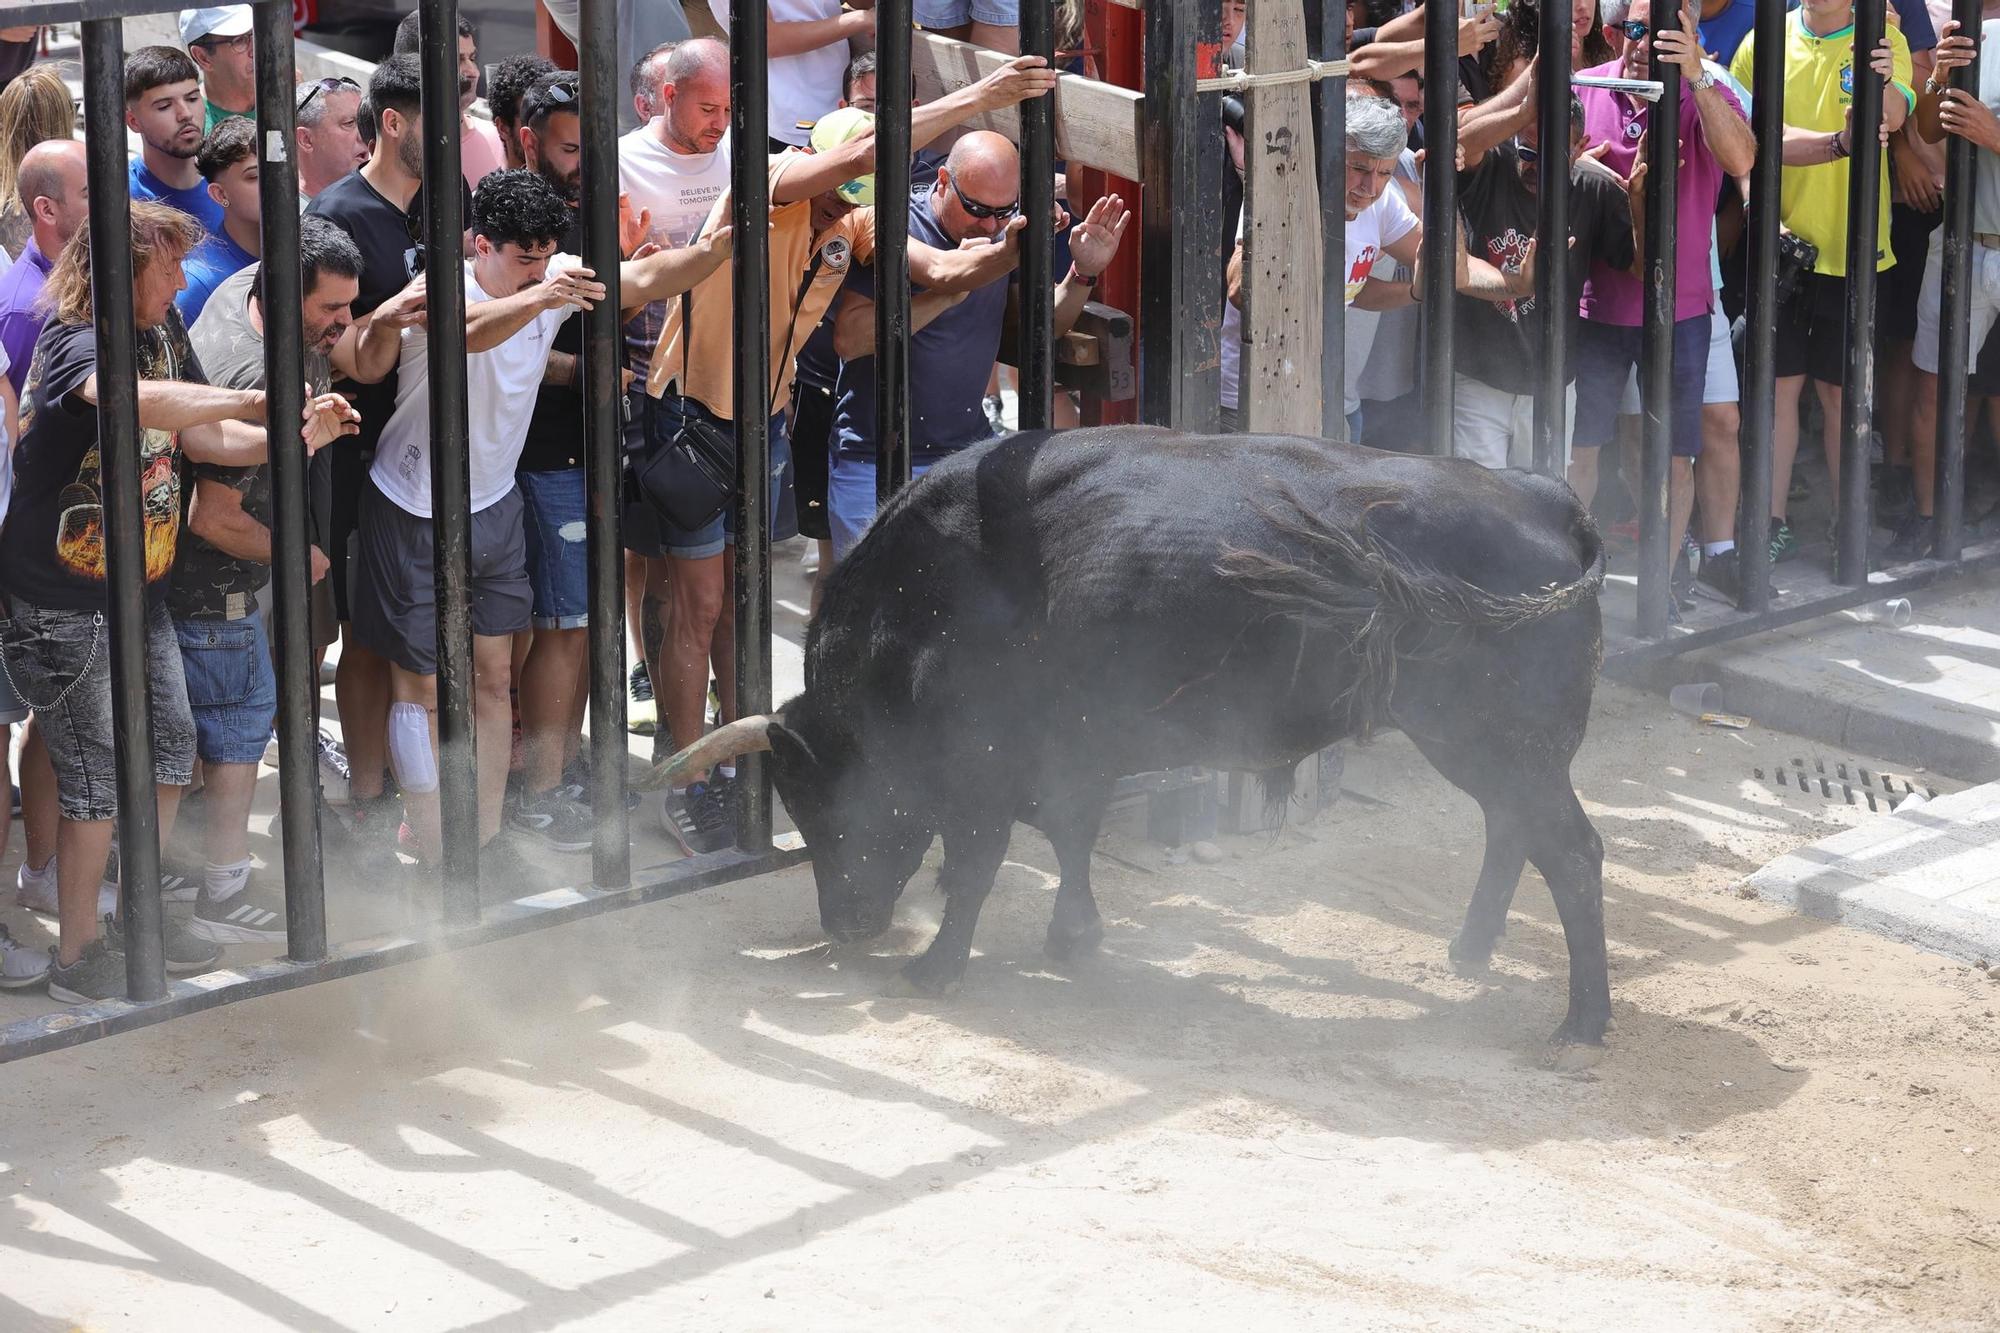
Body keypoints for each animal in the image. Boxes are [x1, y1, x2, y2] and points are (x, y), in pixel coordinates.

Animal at [648, 430, 1616, 1040]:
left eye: (825, 804)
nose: (846, 925)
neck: (921, 601)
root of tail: (1544, 496)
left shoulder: (985, 774)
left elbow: (977, 866)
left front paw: (938, 967)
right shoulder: (1074, 754)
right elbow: (1071, 837)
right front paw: (1074, 935)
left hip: (1502, 744)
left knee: (1570, 852)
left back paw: (1582, 1021)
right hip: (1495, 750)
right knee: (1514, 833)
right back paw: (1472, 949)